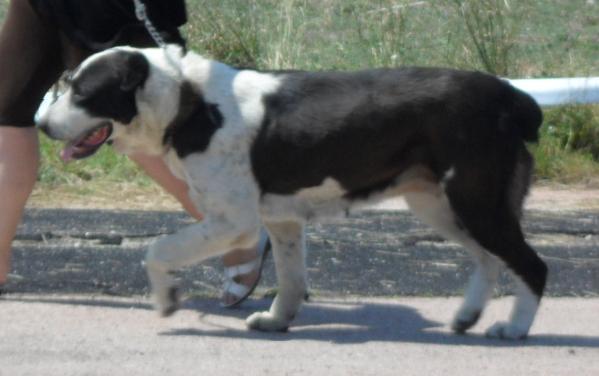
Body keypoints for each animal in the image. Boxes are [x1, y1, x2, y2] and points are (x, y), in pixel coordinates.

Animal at [39, 45, 548, 340]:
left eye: (83, 92)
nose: (41, 124)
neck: (188, 102)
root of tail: (511, 96)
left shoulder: (234, 221)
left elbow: (157, 249)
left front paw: (166, 298)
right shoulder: (281, 220)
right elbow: (290, 279)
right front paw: (278, 321)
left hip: (474, 201)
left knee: (531, 265)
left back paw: (514, 328)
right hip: (438, 204)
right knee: (488, 260)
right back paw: (467, 317)